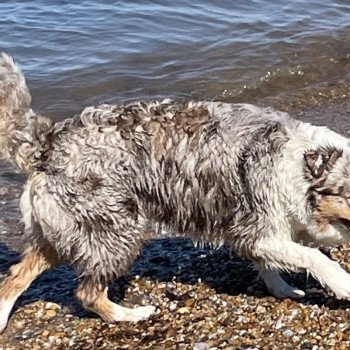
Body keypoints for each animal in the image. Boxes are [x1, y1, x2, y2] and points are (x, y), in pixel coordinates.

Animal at [0, 53, 350, 332]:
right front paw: (342, 283)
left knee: (15, 275)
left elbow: (270, 263)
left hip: (64, 230)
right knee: (86, 293)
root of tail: (47, 142)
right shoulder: (259, 230)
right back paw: (132, 315)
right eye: (346, 194)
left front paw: (282, 289)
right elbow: (313, 256)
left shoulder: (254, 229)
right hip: (117, 226)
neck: (299, 165)